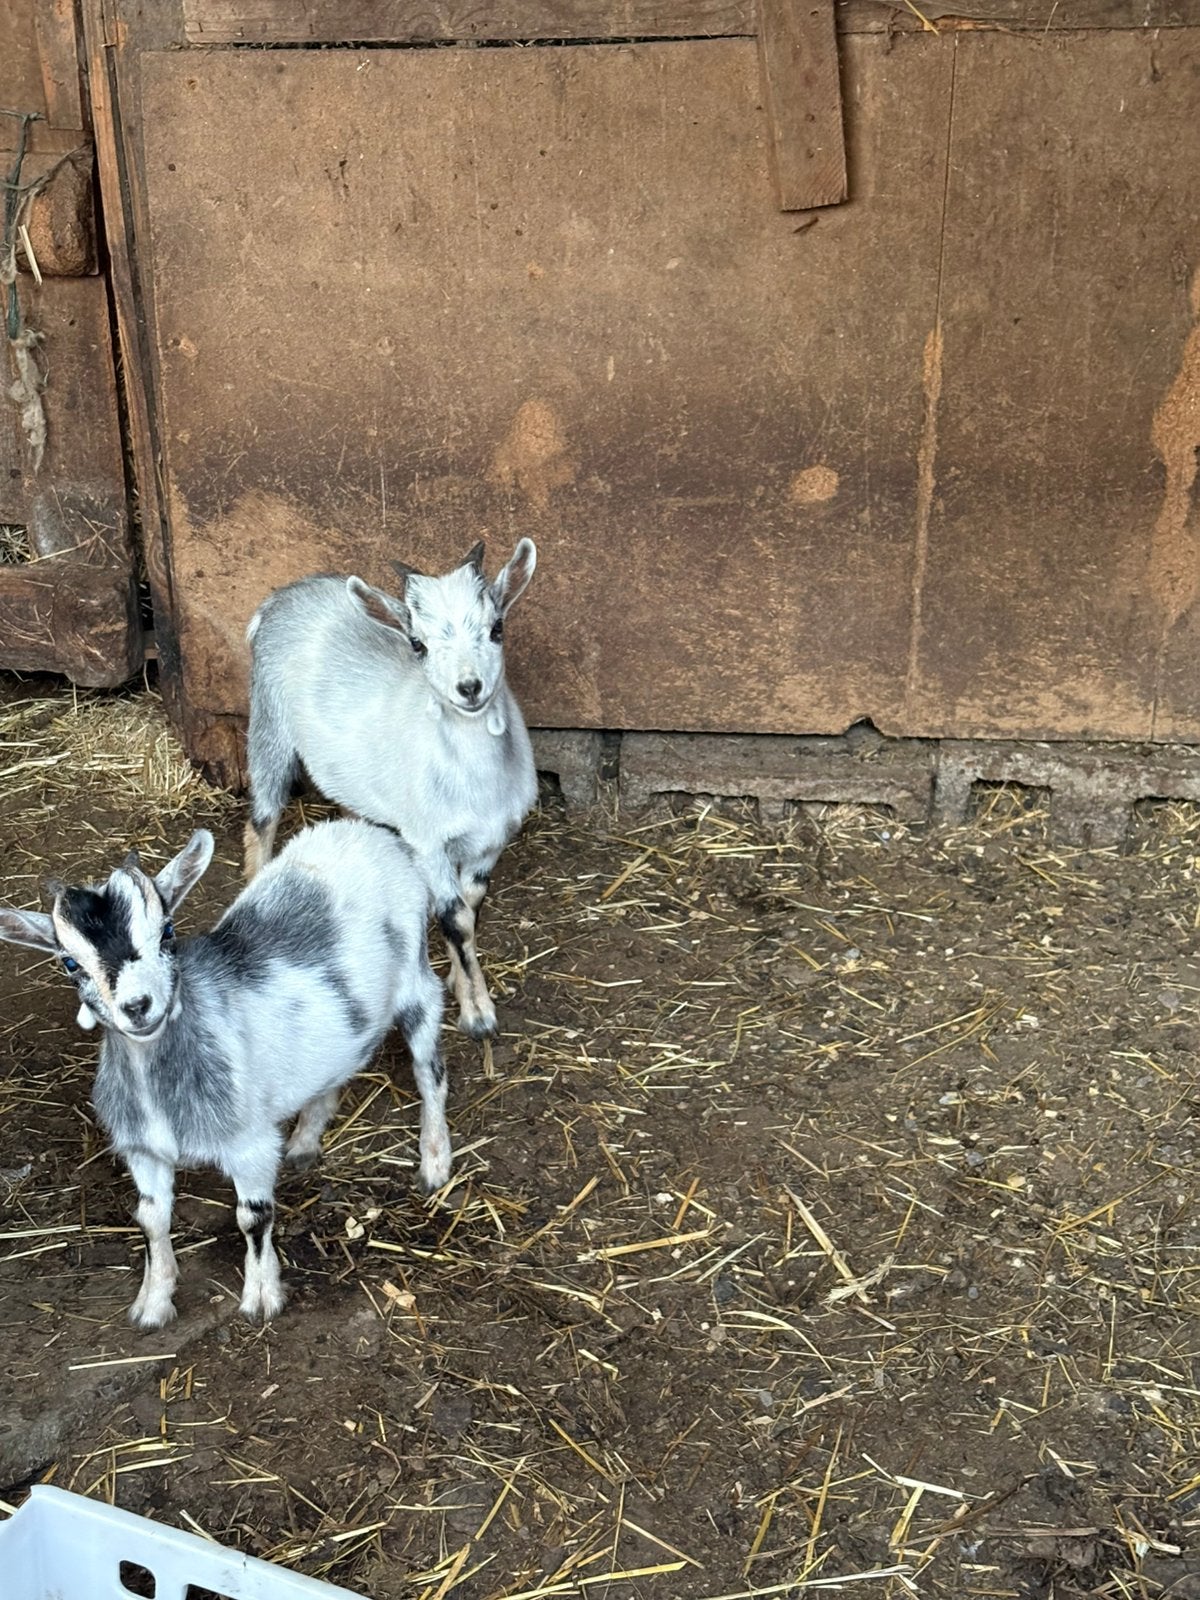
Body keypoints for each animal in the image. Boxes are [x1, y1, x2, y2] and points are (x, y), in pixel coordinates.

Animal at [0, 820, 450, 1329]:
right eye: (70, 963)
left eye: (168, 933)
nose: (138, 1007)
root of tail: (369, 830)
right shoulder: (142, 1150)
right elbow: (150, 1218)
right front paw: (153, 1303)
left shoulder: (249, 1144)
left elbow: (253, 1217)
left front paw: (261, 1297)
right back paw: (305, 1141)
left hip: (417, 983)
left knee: (430, 1072)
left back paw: (435, 1162)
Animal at [243, 538, 537, 1040]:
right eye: (418, 644)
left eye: (496, 628)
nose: (469, 687)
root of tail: (281, 596)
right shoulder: (427, 840)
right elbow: (455, 918)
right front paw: (478, 1014)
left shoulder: (492, 840)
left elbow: (471, 907)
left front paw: (461, 983)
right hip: (268, 721)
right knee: (261, 821)